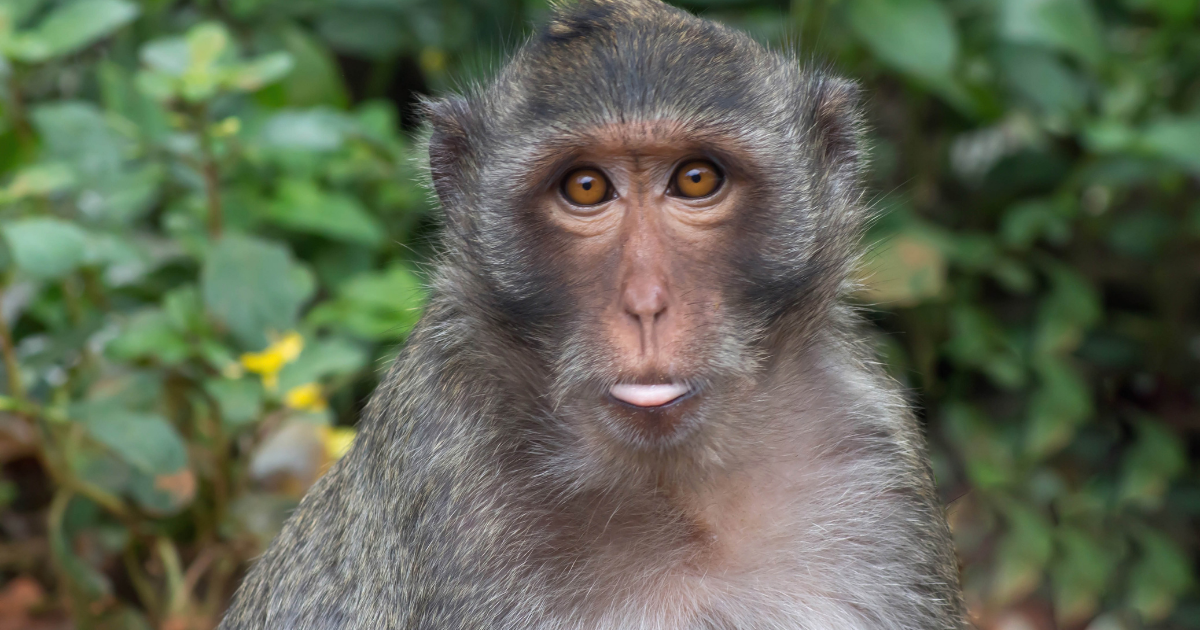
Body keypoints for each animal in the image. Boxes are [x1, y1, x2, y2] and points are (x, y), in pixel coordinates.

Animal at [218, 0, 966, 628]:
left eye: (697, 179)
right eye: (585, 188)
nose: (645, 304)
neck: (679, 491)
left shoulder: (873, 460)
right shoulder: (451, 482)